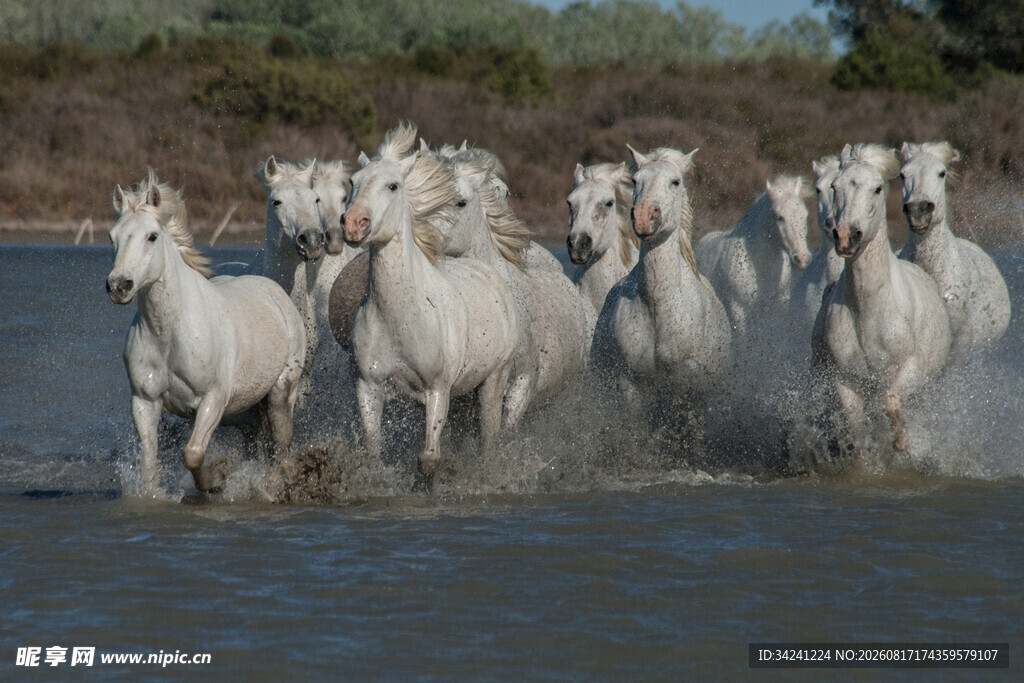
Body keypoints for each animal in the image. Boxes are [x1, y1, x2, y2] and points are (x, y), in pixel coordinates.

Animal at [106, 170, 305, 492]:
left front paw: (218, 477)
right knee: (254, 434)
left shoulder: (212, 399)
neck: (169, 336)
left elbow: (193, 453)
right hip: (239, 409)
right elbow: (149, 465)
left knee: (281, 445)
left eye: (152, 236)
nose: (118, 286)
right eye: (112, 237)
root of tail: (276, 293)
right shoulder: (144, 403)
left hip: (280, 391)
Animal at [341, 124, 519, 477]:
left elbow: (429, 459)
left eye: (393, 186)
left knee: (489, 440)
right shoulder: (368, 387)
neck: (403, 318)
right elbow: (374, 455)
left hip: (494, 381)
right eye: (353, 182)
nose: (353, 225)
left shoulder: (437, 390)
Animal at [591, 145, 732, 413]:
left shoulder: (685, 388)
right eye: (635, 181)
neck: (657, 307)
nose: (644, 217)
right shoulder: (630, 386)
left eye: (675, 182)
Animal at [812, 143, 951, 454]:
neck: (868, 311)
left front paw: (902, 443)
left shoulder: (911, 369)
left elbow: (892, 400)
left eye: (877, 188)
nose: (846, 236)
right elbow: (857, 427)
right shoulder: (844, 381)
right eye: (834, 187)